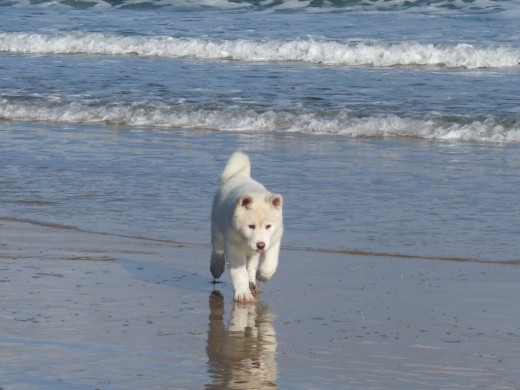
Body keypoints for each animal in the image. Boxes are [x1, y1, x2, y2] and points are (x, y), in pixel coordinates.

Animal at [210, 152, 284, 302]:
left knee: (251, 265)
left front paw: (262, 275)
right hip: (217, 227)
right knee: (217, 249)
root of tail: (241, 176)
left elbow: (270, 263)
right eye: (251, 226)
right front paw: (243, 293)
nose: (260, 245)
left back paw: (253, 283)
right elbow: (239, 273)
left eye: (268, 226)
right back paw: (216, 267)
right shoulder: (233, 247)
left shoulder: (274, 239)